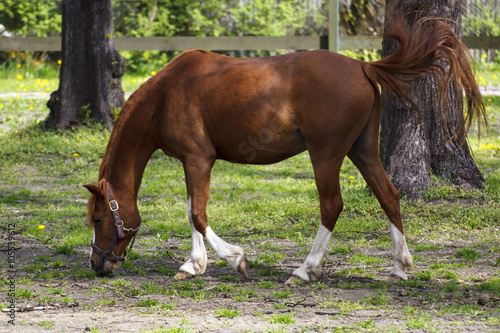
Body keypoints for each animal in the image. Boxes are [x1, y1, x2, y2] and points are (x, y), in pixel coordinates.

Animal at [85, 10, 484, 282]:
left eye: (98, 218)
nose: (96, 264)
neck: (166, 95)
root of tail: (362, 66)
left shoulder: (199, 159)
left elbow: (197, 214)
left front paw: (234, 259)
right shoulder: (190, 162)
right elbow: (191, 211)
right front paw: (194, 264)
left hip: (326, 155)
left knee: (332, 206)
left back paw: (305, 270)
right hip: (363, 151)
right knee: (389, 195)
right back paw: (400, 266)